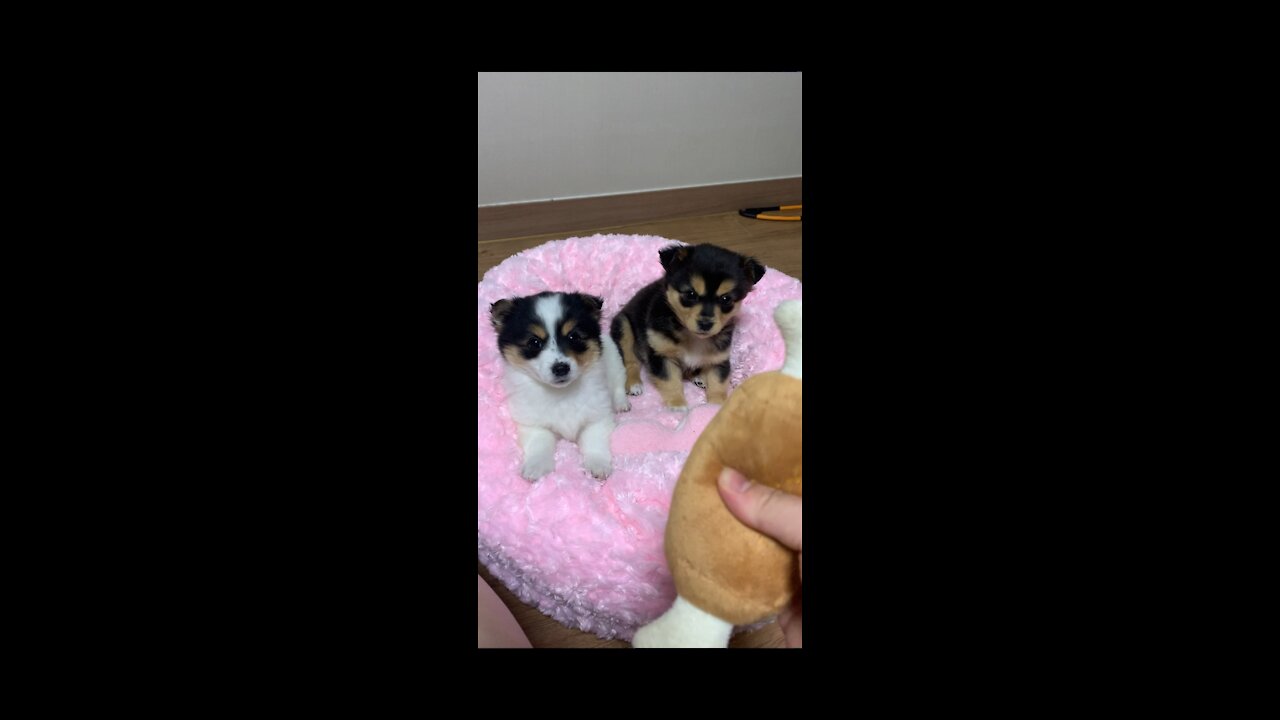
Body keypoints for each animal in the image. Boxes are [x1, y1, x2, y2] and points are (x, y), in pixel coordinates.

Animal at [488, 288, 629, 479]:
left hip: (615, 361)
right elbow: (539, 443)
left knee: (619, 386)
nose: (561, 368)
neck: (561, 393)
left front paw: (597, 465)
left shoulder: (598, 416)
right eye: (534, 342)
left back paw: (622, 404)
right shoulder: (532, 424)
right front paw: (536, 467)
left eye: (573, 337)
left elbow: (594, 441)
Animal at [606, 242, 757, 407]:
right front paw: (677, 405)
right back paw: (634, 383)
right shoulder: (661, 354)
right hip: (623, 327)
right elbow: (671, 381)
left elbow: (718, 383)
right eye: (690, 294)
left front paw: (715, 406)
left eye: (726, 299)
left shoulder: (719, 358)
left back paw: (699, 377)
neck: (692, 336)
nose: (705, 323)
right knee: (630, 361)